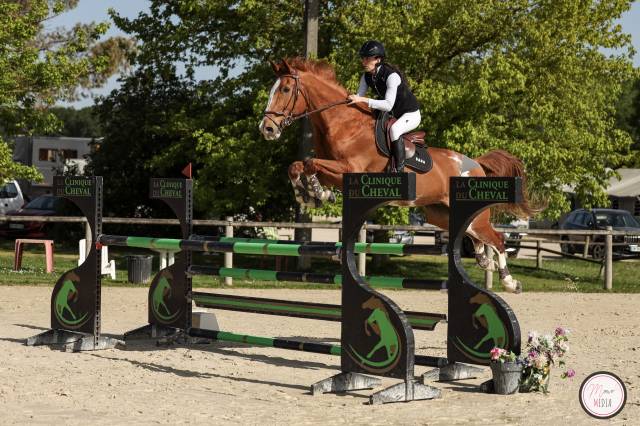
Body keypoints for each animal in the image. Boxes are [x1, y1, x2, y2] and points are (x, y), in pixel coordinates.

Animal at [259, 57, 536, 293]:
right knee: (476, 237)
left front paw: (316, 193)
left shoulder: (349, 169)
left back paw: (510, 282)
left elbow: (309, 163)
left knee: (498, 239)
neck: (342, 124)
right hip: (441, 215)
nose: (267, 129)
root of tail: (476, 164)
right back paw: (484, 261)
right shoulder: (334, 171)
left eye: (285, 90)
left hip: (473, 217)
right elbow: (299, 165)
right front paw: (310, 194)